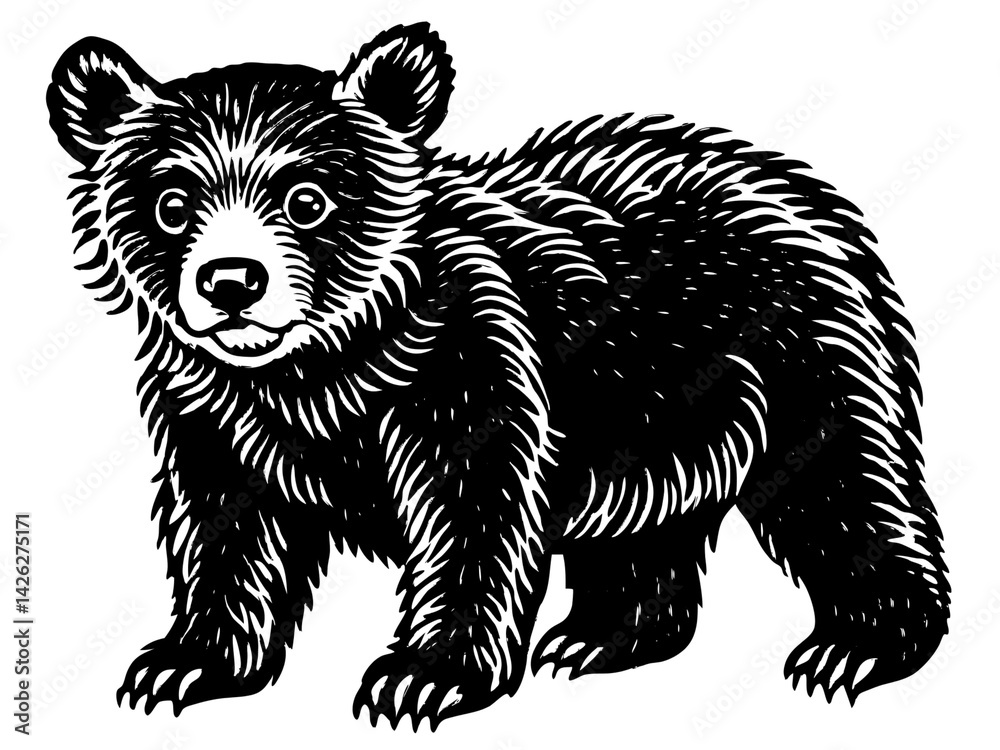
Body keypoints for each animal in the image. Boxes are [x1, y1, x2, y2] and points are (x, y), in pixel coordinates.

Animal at [47, 23, 949, 729]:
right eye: (171, 202)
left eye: (307, 198)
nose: (231, 282)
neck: (322, 365)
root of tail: (791, 178)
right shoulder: (216, 406)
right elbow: (227, 524)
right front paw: (185, 662)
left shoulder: (465, 353)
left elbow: (472, 503)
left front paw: (423, 677)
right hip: (652, 408)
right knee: (643, 526)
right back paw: (601, 635)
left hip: (789, 342)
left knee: (841, 482)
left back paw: (860, 643)